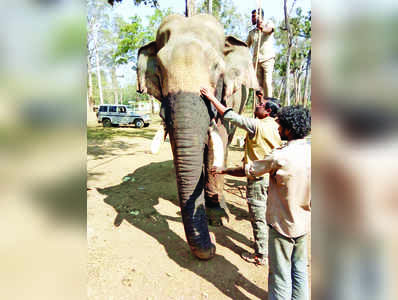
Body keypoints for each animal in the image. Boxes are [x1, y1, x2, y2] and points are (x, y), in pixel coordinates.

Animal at [137, 12, 258, 258]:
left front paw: (219, 218)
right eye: (160, 70)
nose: (212, 248)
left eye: (217, 67)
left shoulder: (226, 98)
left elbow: (217, 140)